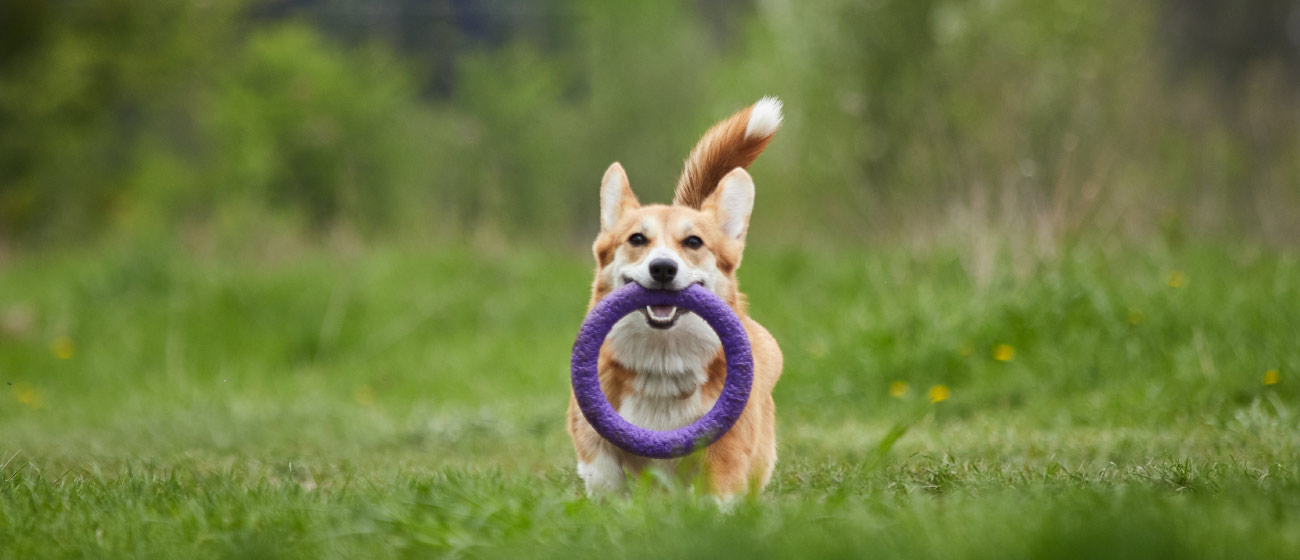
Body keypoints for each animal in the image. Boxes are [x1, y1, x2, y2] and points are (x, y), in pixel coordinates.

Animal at [566, 98, 780, 498]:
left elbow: (719, 486)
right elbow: (605, 473)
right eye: (637, 239)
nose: (663, 268)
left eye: (693, 242)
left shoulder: (727, 445)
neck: (662, 359)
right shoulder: (593, 436)